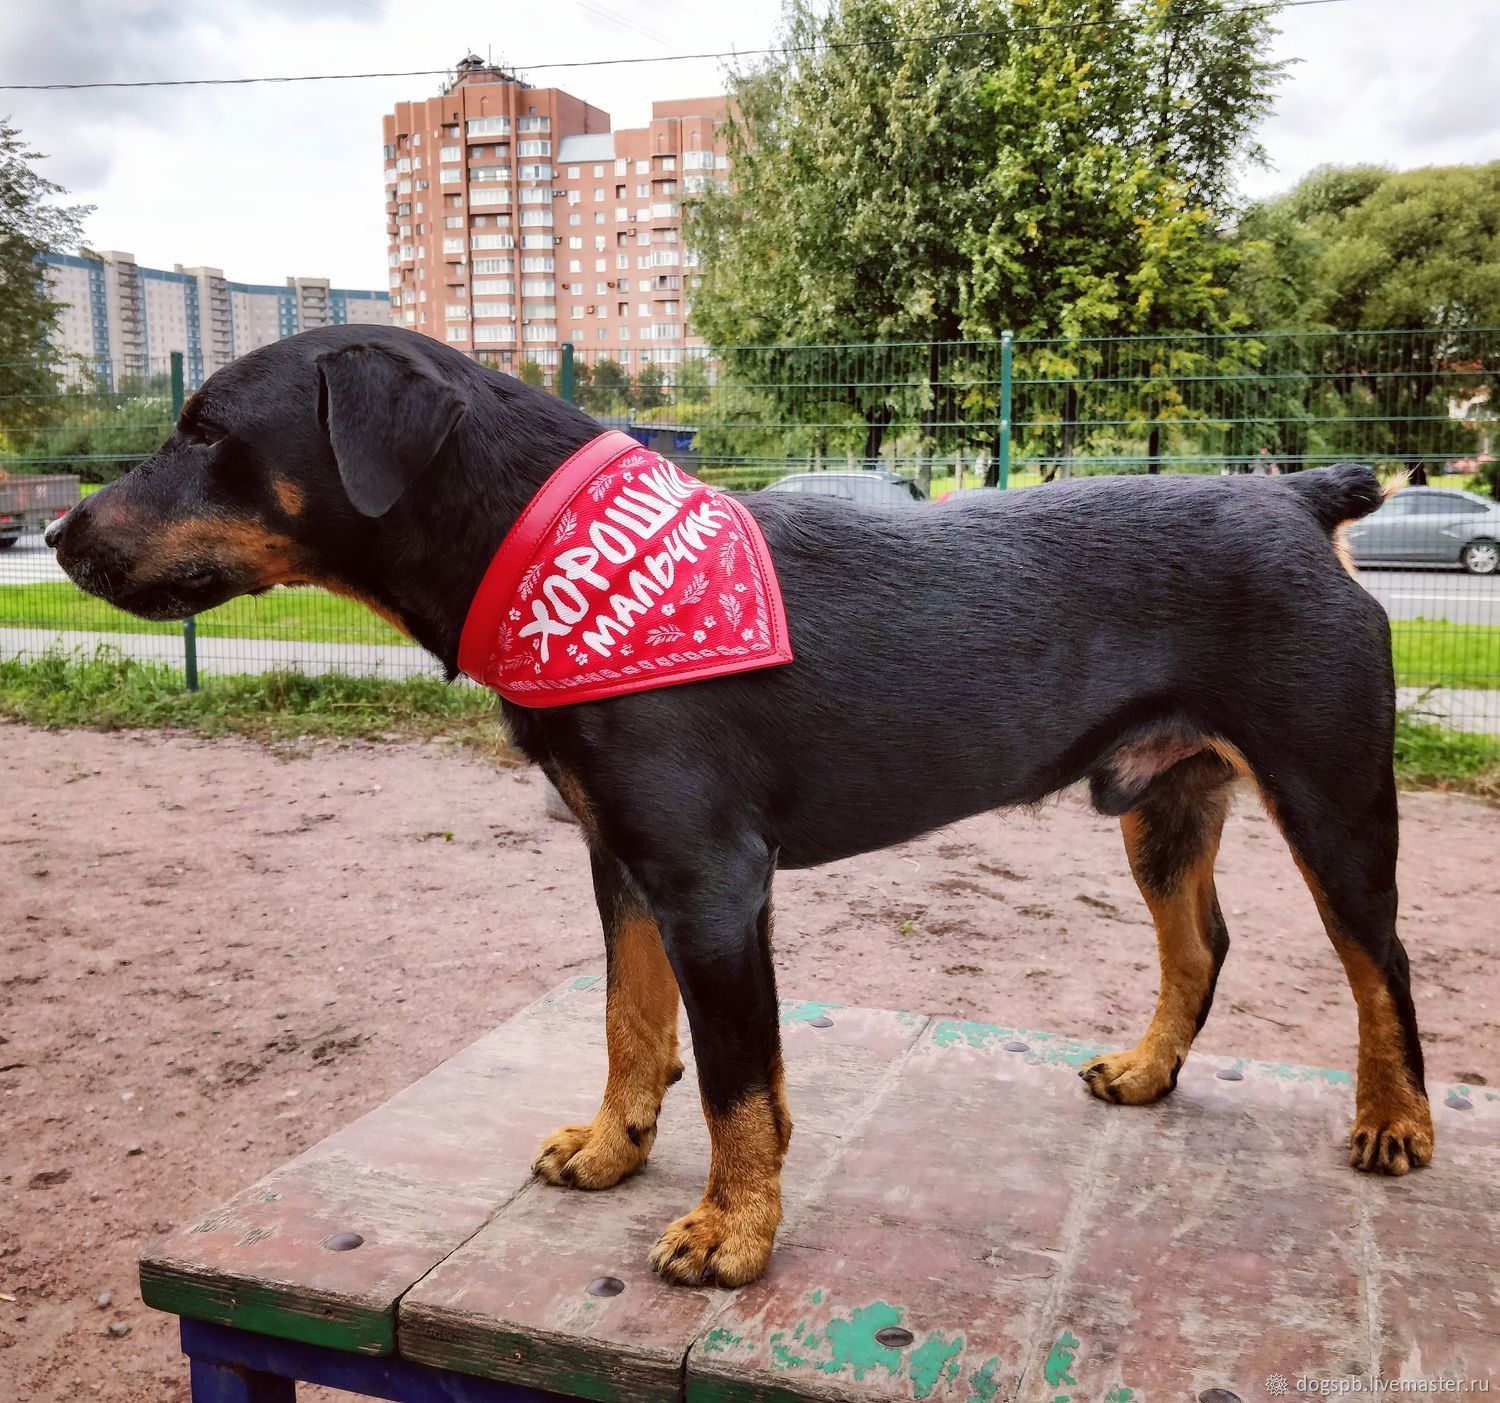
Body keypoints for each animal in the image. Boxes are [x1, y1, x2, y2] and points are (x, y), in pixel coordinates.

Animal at [46, 327, 1428, 1284]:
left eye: (205, 431)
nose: (57, 534)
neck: (556, 555)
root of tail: (1295, 495)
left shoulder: (711, 879)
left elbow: (735, 1077)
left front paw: (730, 1231)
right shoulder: (622, 861)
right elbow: (630, 1023)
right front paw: (614, 1149)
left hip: (1333, 796)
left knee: (1384, 971)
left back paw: (1396, 1123)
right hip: (1164, 806)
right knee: (1202, 944)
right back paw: (1148, 1070)